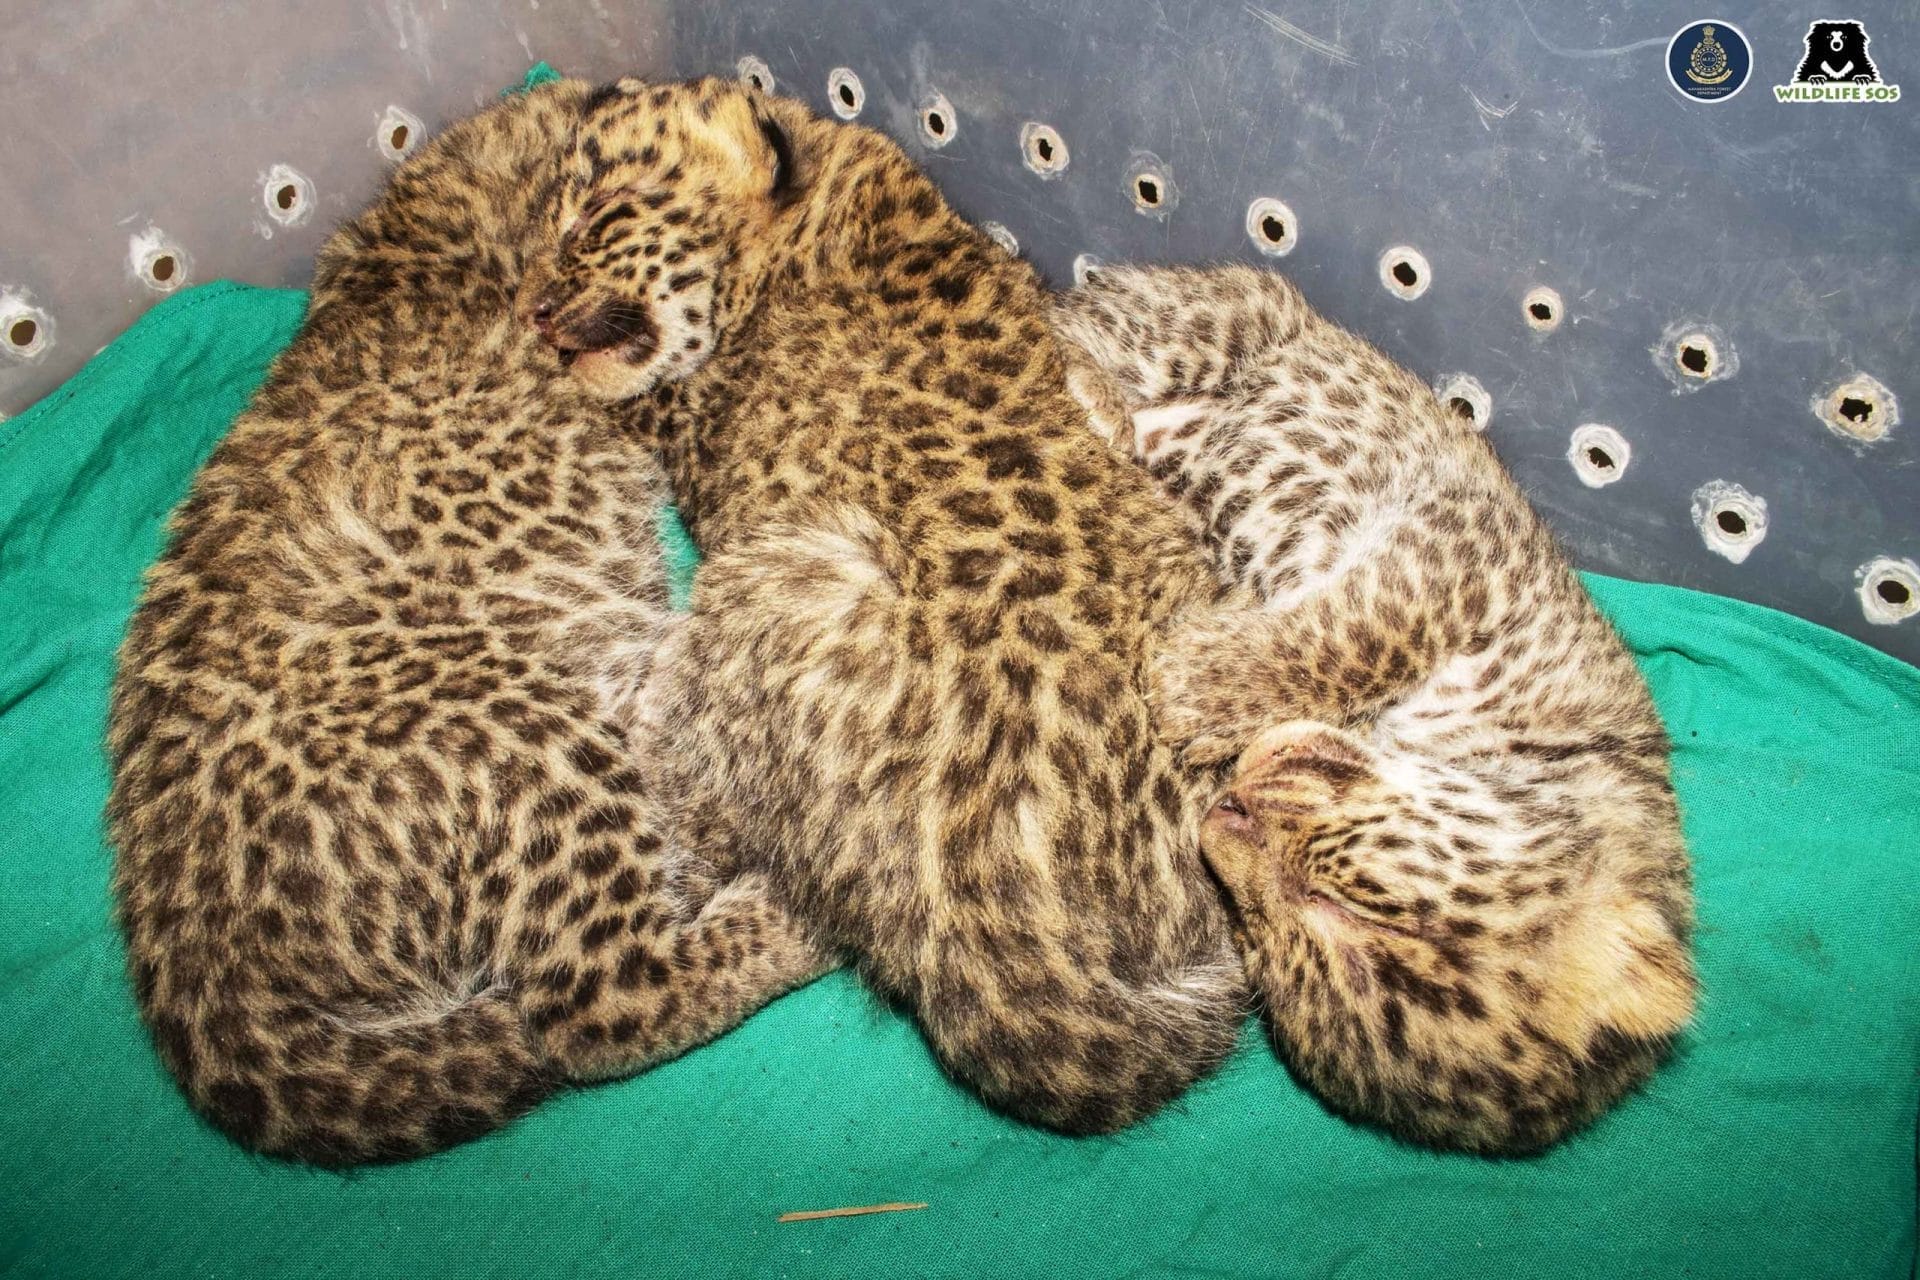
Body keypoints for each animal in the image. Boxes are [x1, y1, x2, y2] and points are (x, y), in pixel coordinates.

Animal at [105, 80, 827, 1167]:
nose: (540, 312)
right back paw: (806, 915)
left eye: (595, 223)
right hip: (528, 726)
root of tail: (192, 955)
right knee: (603, 1004)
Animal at [1050, 262, 1697, 1154]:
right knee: (1081, 324)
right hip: (1224, 320)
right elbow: (1370, 626)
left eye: (1272, 940)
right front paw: (1196, 682)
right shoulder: (1466, 549)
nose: (1228, 809)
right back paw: (1085, 382)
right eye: (1352, 902)